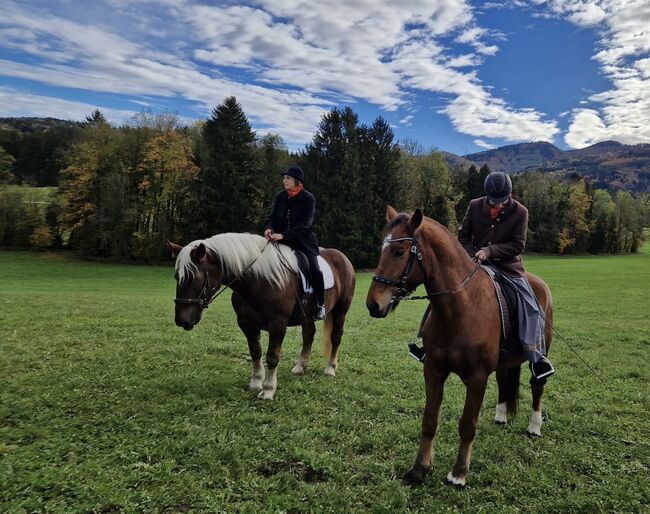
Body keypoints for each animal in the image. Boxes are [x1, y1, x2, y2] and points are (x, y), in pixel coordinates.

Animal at [165, 233, 352, 400]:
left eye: (193, 277)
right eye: (176, 277)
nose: (182, 320)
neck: (259, 280)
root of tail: (342, 257)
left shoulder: (278, 324)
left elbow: (272, 357)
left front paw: (268, 390)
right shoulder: (246, 323)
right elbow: (255, 352)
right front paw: (255, 383)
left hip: (341, 311)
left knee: (336, 337)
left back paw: (330, 368)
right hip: (307, 315)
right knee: (308, 335)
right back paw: (300, 367)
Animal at [364, 204, 552, 484]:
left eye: (399, 252)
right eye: (381, 250)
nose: (373, 304)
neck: (459, 306)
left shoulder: (477, 377)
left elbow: (467, 425)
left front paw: (459, 474)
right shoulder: (433, 370)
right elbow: (429, 419)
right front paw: (420, 469)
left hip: (539, 352)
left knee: (537, 385)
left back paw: (534, 426)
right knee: (504, 380)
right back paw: (501, 416)